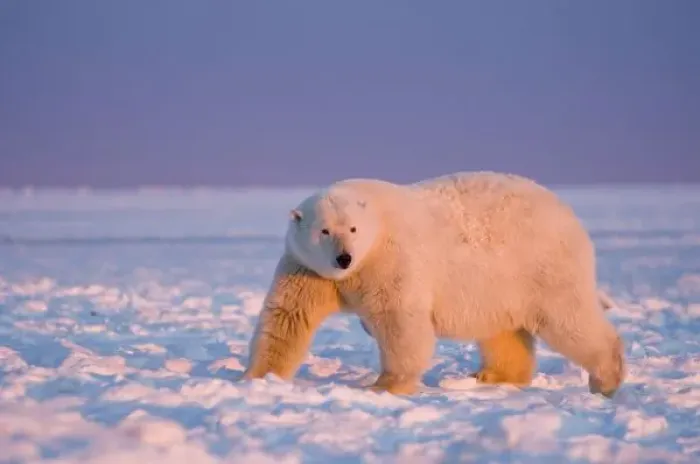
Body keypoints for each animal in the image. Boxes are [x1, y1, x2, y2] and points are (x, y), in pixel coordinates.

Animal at [242, 171, 626, 397]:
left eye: (351, 228)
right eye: (324, 230)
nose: (344, 257)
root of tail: (570, 215)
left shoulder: (389, 258)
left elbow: (400, 322)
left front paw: (385, 385)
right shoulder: (308, 269)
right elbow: (288, 318)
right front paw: (257, 378)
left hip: (542, 265)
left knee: (569, 318)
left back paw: (605, 379)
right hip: (497, 284)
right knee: (502, 330)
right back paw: (491, 377)